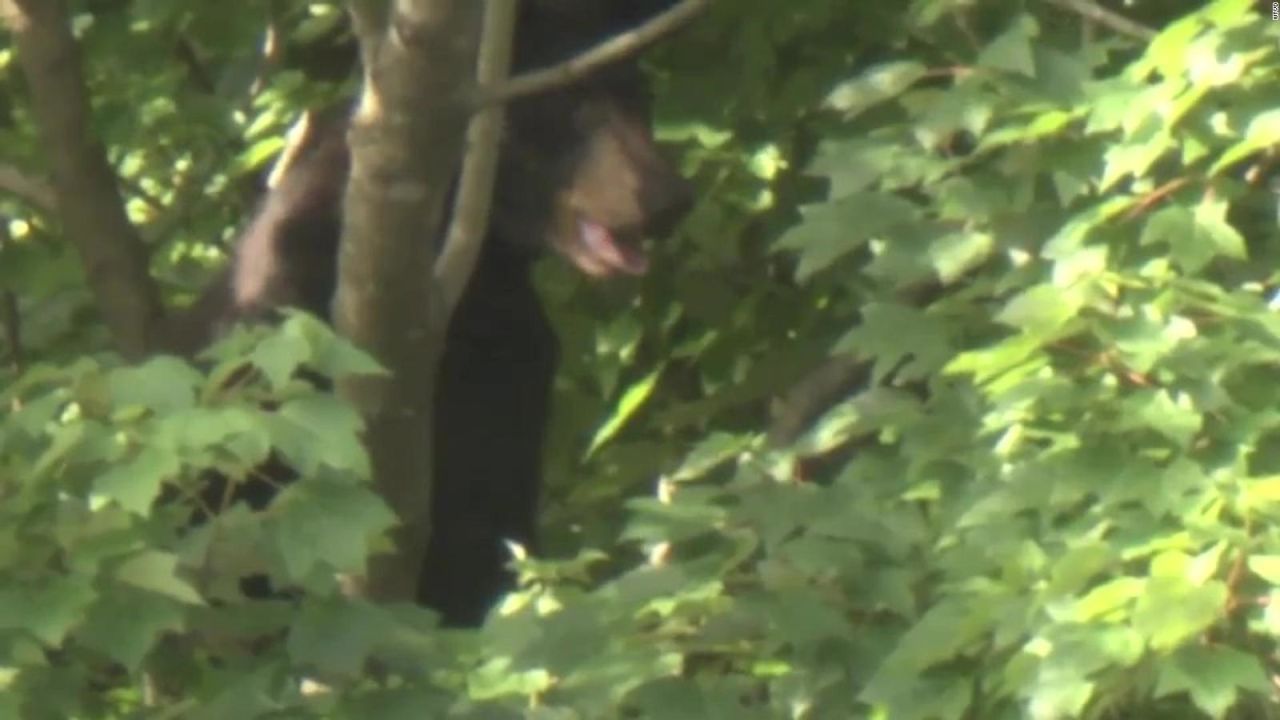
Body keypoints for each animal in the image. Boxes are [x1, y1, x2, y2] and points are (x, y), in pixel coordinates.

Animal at [168, 0, 696, 625]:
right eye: (573, 103)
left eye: (641, 97)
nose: (672, 201)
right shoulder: (280, 312)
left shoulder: (509, 363)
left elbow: (484, 517)